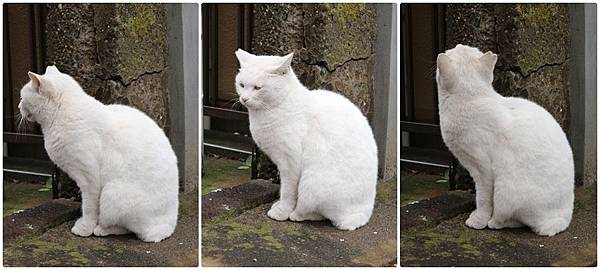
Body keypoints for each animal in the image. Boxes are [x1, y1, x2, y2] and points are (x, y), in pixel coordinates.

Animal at [233, 49, 378, 230]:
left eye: (257, 88)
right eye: (241, 85)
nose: (244, 99)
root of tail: (364, 213)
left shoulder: (289, 163)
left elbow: (287, 192)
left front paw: (282, 211)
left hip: (312, 184)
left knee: (323, 215)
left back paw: (297, 214)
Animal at [438, 44, 576, 236]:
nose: (459, 44)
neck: (471, 99)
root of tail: (564, 216)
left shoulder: (482, 169)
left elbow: (483, 199)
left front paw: (478, 220)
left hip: (507, 192)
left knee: (519, 221)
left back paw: (495, 222)